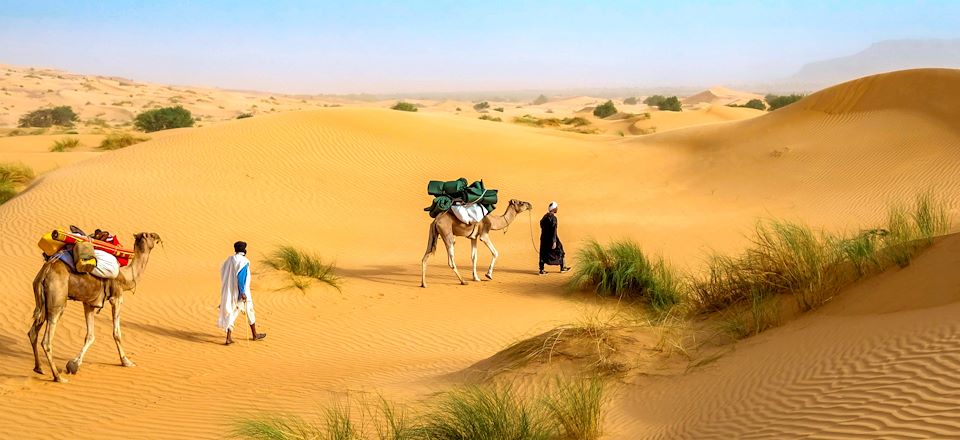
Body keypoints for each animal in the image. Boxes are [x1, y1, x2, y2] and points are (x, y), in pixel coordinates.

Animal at [26, 234, 162, 382]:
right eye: (151, 235)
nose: (158, 238)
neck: (127, 276)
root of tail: (46, 271)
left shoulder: (90, 303)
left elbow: (90, 335)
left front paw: (73, 364)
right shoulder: (117, 298)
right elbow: (116, 333)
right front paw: (126, 362)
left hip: (43, 302)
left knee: (33, 332)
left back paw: (39, 368)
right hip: (57, 301)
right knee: (46, 340)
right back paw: (58, 377)